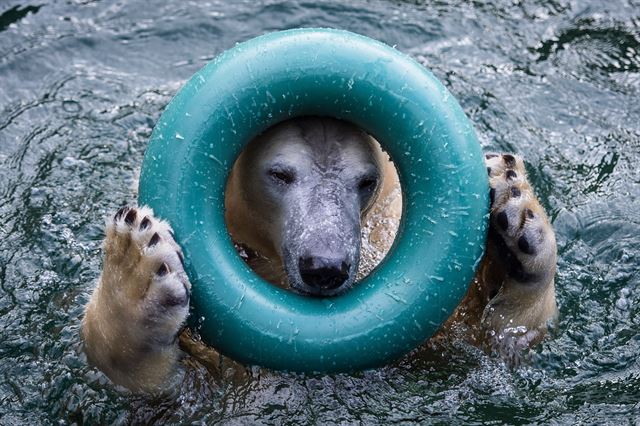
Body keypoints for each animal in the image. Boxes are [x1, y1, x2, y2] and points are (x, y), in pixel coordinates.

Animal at [82, 115, 556, 390]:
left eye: (365, 180)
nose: (324, 268)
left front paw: (515, 213)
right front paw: (137, 264)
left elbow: (492, 341)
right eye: (279, 173)